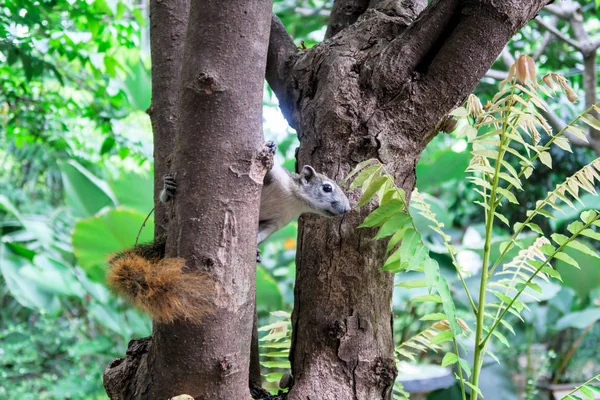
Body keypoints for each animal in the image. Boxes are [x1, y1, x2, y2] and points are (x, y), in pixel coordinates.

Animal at [108, 141, 352, 322]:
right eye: (327, 188)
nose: (347, 209)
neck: (294, 200)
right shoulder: (278, 181)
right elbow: (267, 169)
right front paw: (271, 149)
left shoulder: (277, 221)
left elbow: (261, 234)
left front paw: (256, 251)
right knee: (168, 200)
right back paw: (167, 191)